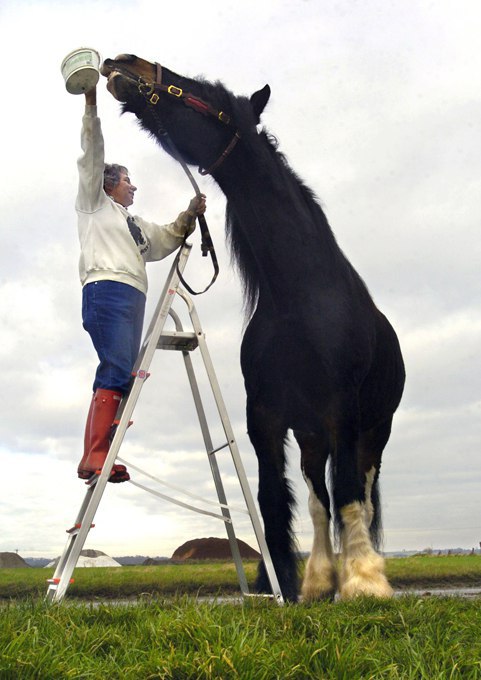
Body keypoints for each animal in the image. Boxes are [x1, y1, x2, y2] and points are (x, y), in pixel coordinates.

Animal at [100, 55, 404, 604]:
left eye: (206, 94)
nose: (124, 63)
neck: (300, 298)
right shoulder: (265, 417)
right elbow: (272, 499)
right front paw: (278, 582)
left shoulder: (344, 413)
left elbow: (350, 494)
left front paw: (364, 584)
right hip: (311, 436)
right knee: (318, 498)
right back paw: (320, 580)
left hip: (375, 430)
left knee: (362, 494)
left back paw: (359, 571)